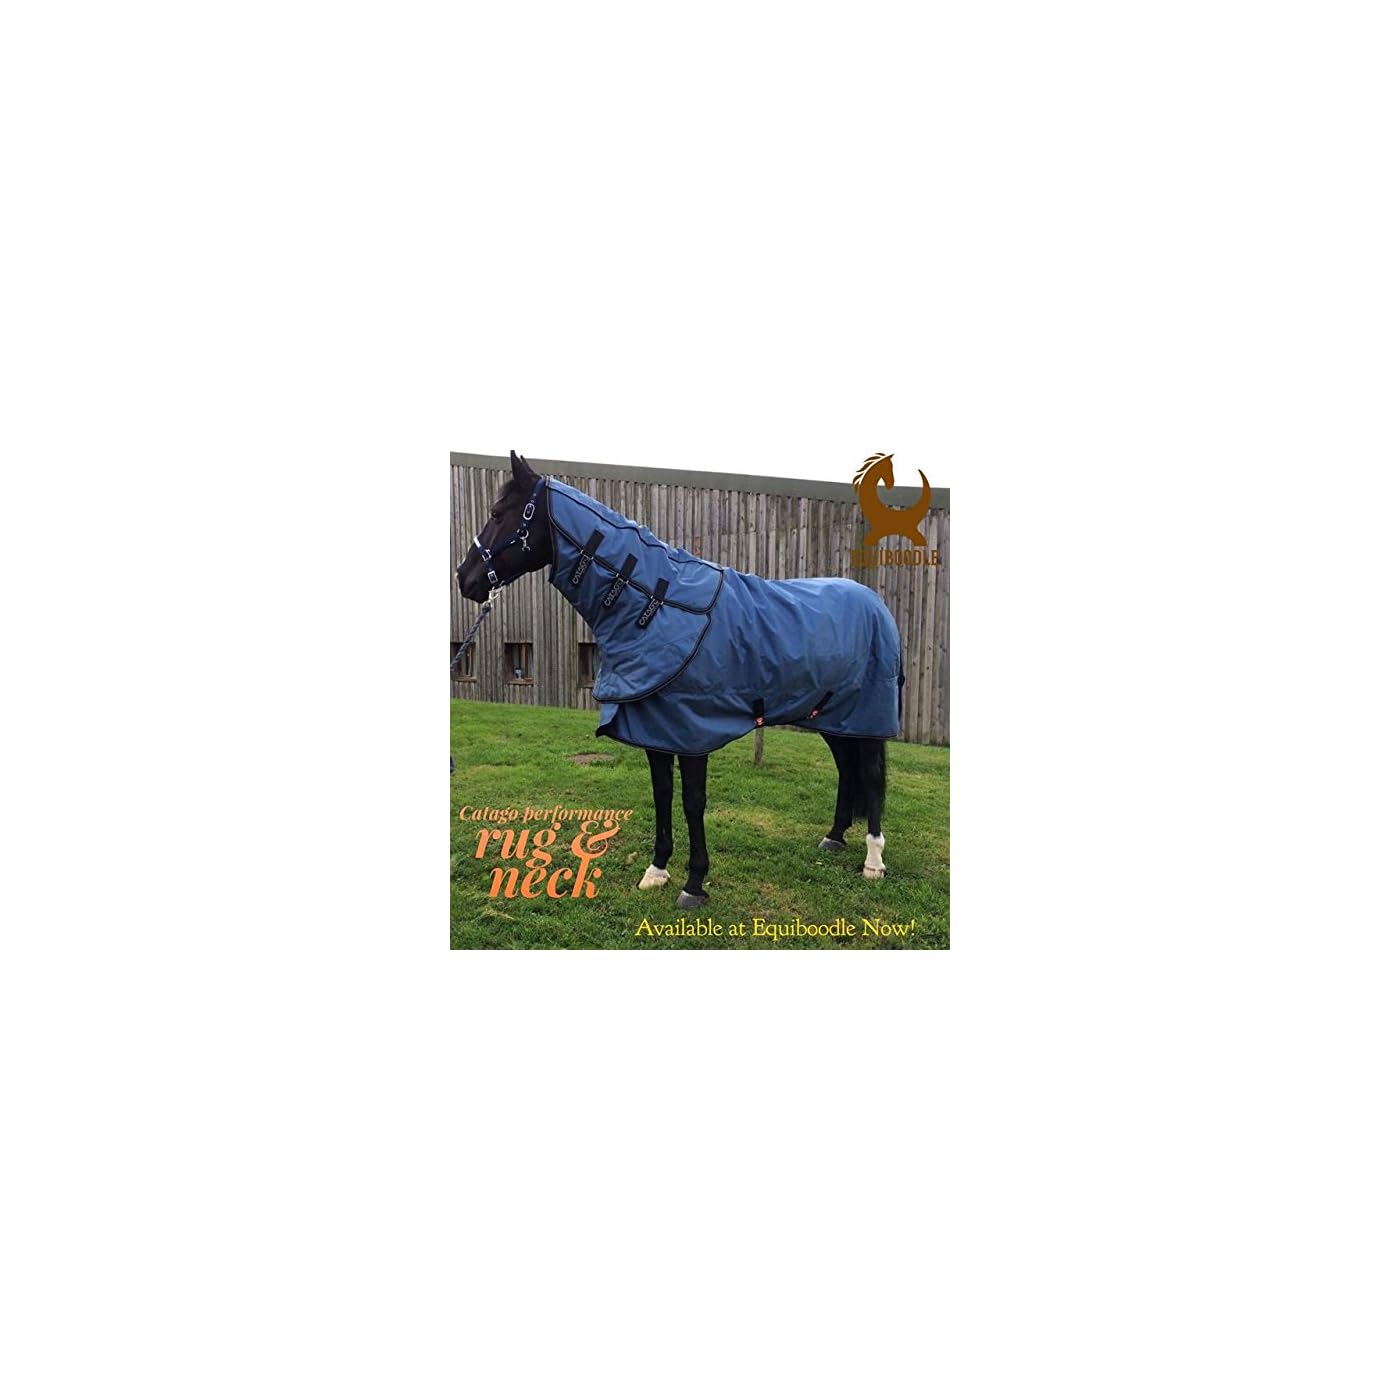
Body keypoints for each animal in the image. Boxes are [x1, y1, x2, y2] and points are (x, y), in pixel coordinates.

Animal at [457, 451, 904, 909]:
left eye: (497, 514)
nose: (464, 578)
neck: (659, 604)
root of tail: (874, 603)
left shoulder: (692, 733)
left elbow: (692, 802)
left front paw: (694, 884)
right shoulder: (656, 730)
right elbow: (662, 795)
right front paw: (656, 870)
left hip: (867, 715)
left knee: (869, 776)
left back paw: (873, 861)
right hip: (833, 716)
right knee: (846, 768)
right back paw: (834, 837)